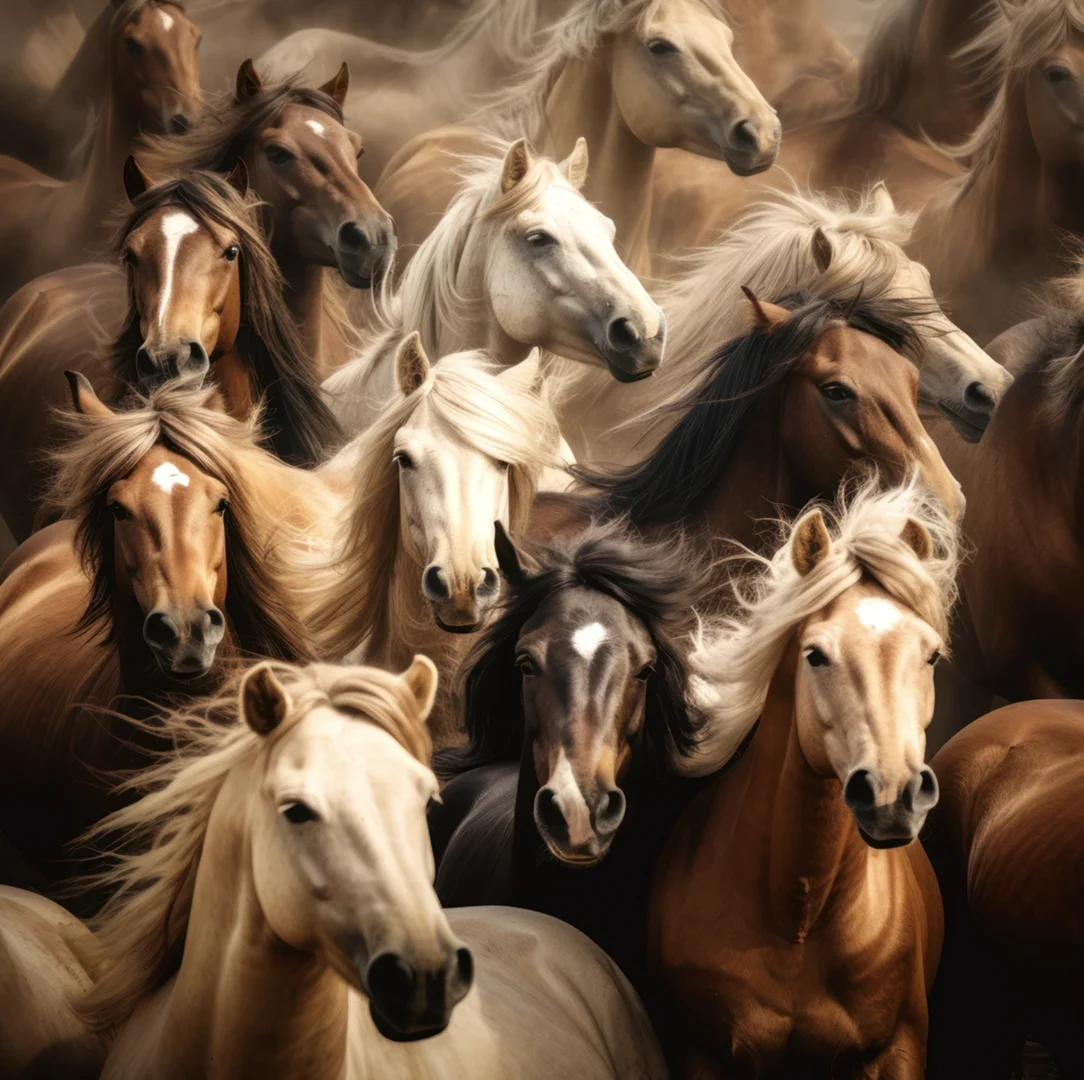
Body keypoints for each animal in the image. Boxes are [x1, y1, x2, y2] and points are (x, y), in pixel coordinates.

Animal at [651, 479, 958, 1077]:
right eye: (815, 655)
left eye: (931, 655)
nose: (894, 795)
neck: (796, 920)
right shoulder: (701, 1053)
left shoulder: (900, 1048)